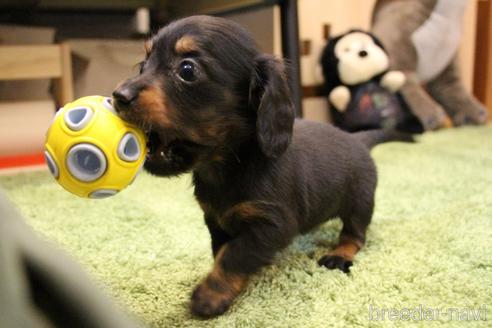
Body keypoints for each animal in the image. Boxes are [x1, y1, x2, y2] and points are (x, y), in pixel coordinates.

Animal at [112, 15, 412, 318]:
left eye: (187, 69)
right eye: (143, 64)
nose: (118, 96)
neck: (229, 166)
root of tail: (358, 139)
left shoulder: (272, 225)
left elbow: (235, 255)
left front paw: (210, 295)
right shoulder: (215, 220)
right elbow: (222, 252)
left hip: (360, 202)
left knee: (355, 234)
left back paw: (340, 254)